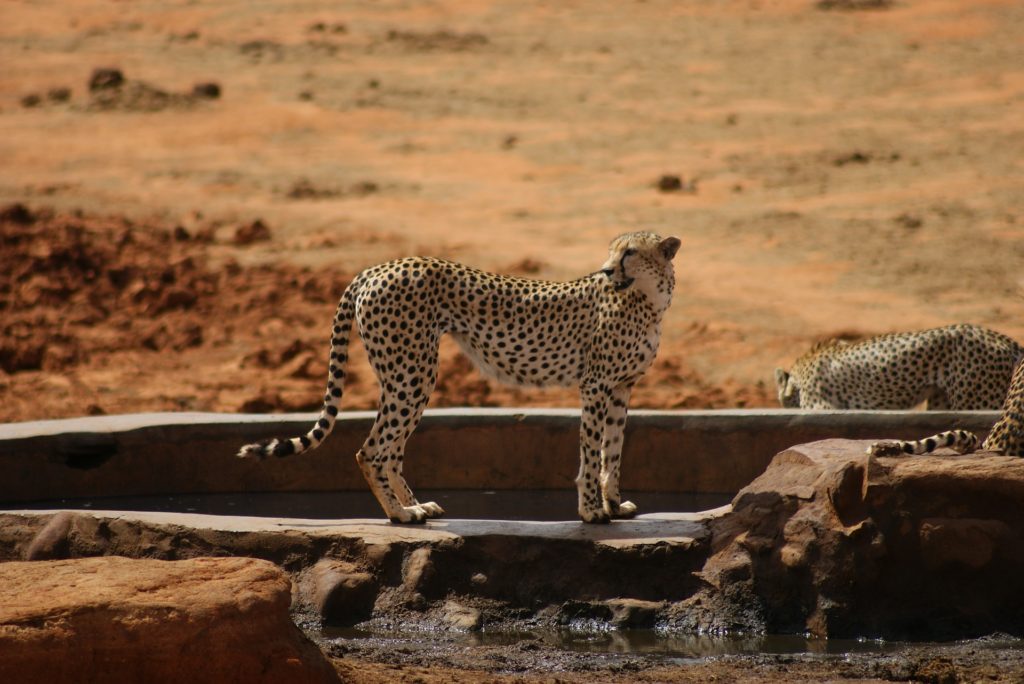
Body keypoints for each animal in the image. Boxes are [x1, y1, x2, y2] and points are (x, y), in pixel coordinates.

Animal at [238, 231, 679, 524]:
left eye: (630, 252)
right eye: (612, 251)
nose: (605, 270)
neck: (649, 299)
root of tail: (379, 266)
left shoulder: (621, 388)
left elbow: (613, 452)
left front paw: (615, 504)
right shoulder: (595, 387)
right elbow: (591, 452)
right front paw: (591, 511)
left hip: (402, 376)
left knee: (391, 450)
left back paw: (416, 506)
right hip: (413, 374)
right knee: (372, 450)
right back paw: (400, 514)